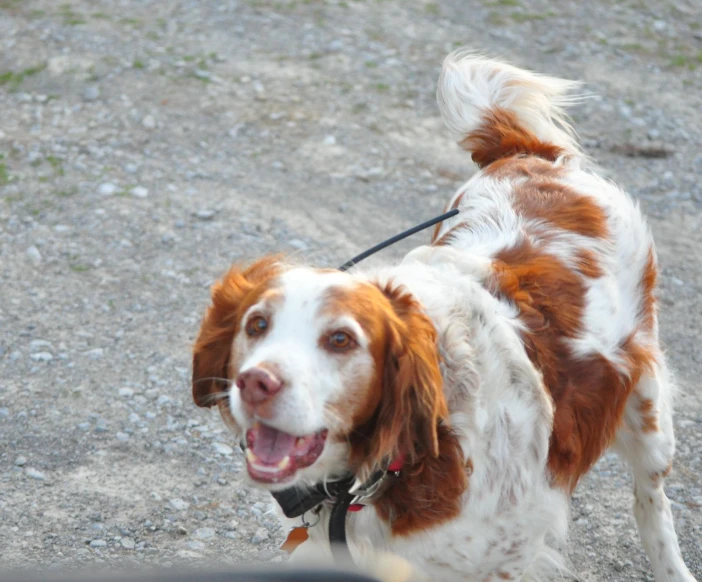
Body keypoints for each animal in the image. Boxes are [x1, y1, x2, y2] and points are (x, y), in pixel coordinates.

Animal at [188, 52, 700, 580]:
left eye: (340, 339)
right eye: (257, 325)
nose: (256, 383)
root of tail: (534, 155)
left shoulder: (506, 555)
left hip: (648, 413)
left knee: (651, 500)